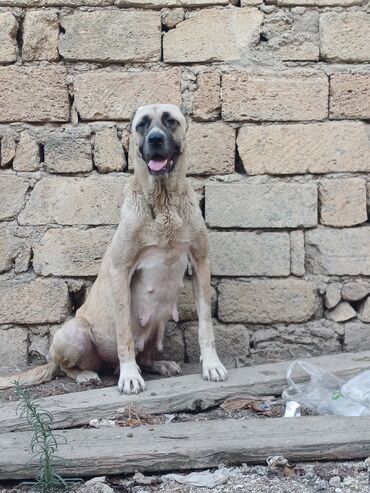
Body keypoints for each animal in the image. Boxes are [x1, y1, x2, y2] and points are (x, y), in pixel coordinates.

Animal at [0, 104, 227, 392]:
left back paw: (159, 364)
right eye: (143, 124)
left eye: (170, 121)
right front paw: (130, 376)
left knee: (145, 356)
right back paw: (88, 374)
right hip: (73, 334)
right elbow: (124, 334)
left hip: (159, 323)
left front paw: (211, 365)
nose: (155, 140)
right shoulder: (121, 271)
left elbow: (206, 325)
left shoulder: (200, 263)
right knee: (65, 367)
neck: (163, 200)